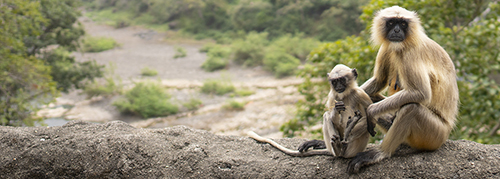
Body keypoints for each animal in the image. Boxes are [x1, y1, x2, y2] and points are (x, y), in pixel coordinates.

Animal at [348, 6, 458, 174]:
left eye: (403, 24)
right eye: (392, 22)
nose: (397, 30)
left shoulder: (411, 52)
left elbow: (420, 93)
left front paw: (371, 111)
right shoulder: (387, 47)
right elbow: (379, 80)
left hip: (435, 135)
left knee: (411, 108)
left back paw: (382, 152)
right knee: (369, 96)